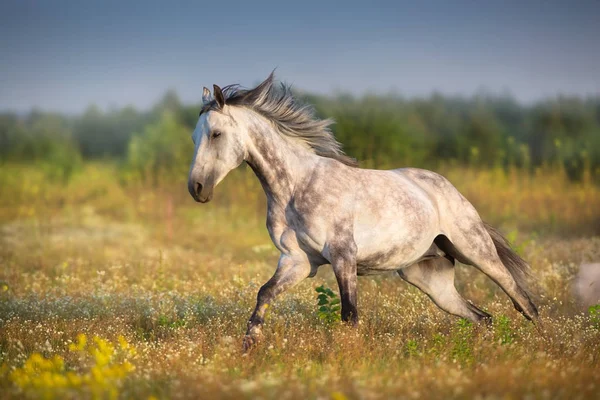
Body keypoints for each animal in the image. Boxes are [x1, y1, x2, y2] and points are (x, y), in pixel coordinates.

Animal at [189, 72, 540, 350]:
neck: (295, 187)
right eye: (195, 136)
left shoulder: (344, 256)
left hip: (476, 251)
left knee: (523, 301)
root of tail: (448, 189)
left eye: (216, 134)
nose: (197, 188)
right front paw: (248, 348)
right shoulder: (298, 261)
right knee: (483, 318)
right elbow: (264, 295)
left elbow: (350, 315)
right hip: (429, 279)